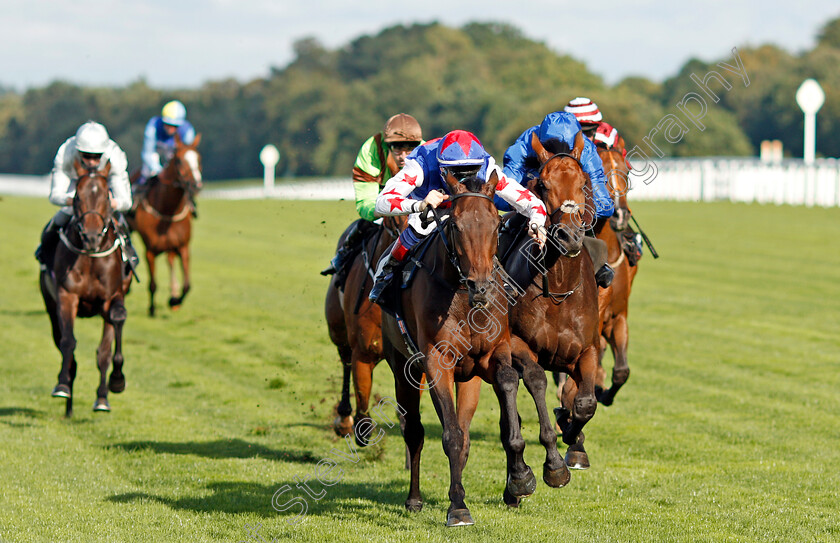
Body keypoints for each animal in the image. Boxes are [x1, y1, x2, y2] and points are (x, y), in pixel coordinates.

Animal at [40, 162, 132, 416]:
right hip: (49, 304)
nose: (91, 237)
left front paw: (109, 390)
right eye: (78, 196)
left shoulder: (111, 297)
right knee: (61, 340)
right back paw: (68, 404)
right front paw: (62, 385)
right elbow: (68, 342)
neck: (91, 255)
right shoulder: (67, 295)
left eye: (106, 194)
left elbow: (106, 349)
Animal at [130, 133, 205, 316]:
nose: (196, 185)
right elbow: (152, 284)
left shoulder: (183, 247)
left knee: (170, 261)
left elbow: (187, 285)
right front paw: (151, 309)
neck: (168, 210)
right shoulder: (150, 251)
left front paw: (174, 300)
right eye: (178, 160)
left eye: (198, 158)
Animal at [382, 171, 536, 528]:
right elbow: (449, 434)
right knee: (415, 431)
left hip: (469, 378)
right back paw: (415, 499)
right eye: (456, 225)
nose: (481, 286)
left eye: (496, 223)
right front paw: (458, 507)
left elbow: (507, 386)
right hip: (401, 365)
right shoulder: (437, 361)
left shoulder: (493, 354)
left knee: (464, 432)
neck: (465, 300)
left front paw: (520, 477)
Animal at [506, 132, 604, 480]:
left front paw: (573, 435)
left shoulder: (586, 349)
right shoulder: (516, 343)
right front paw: (554, 464)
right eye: (543, 185)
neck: (560, 289)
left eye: (584, 182)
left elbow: (586, 403)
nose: (569, 236)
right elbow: (536, 380)